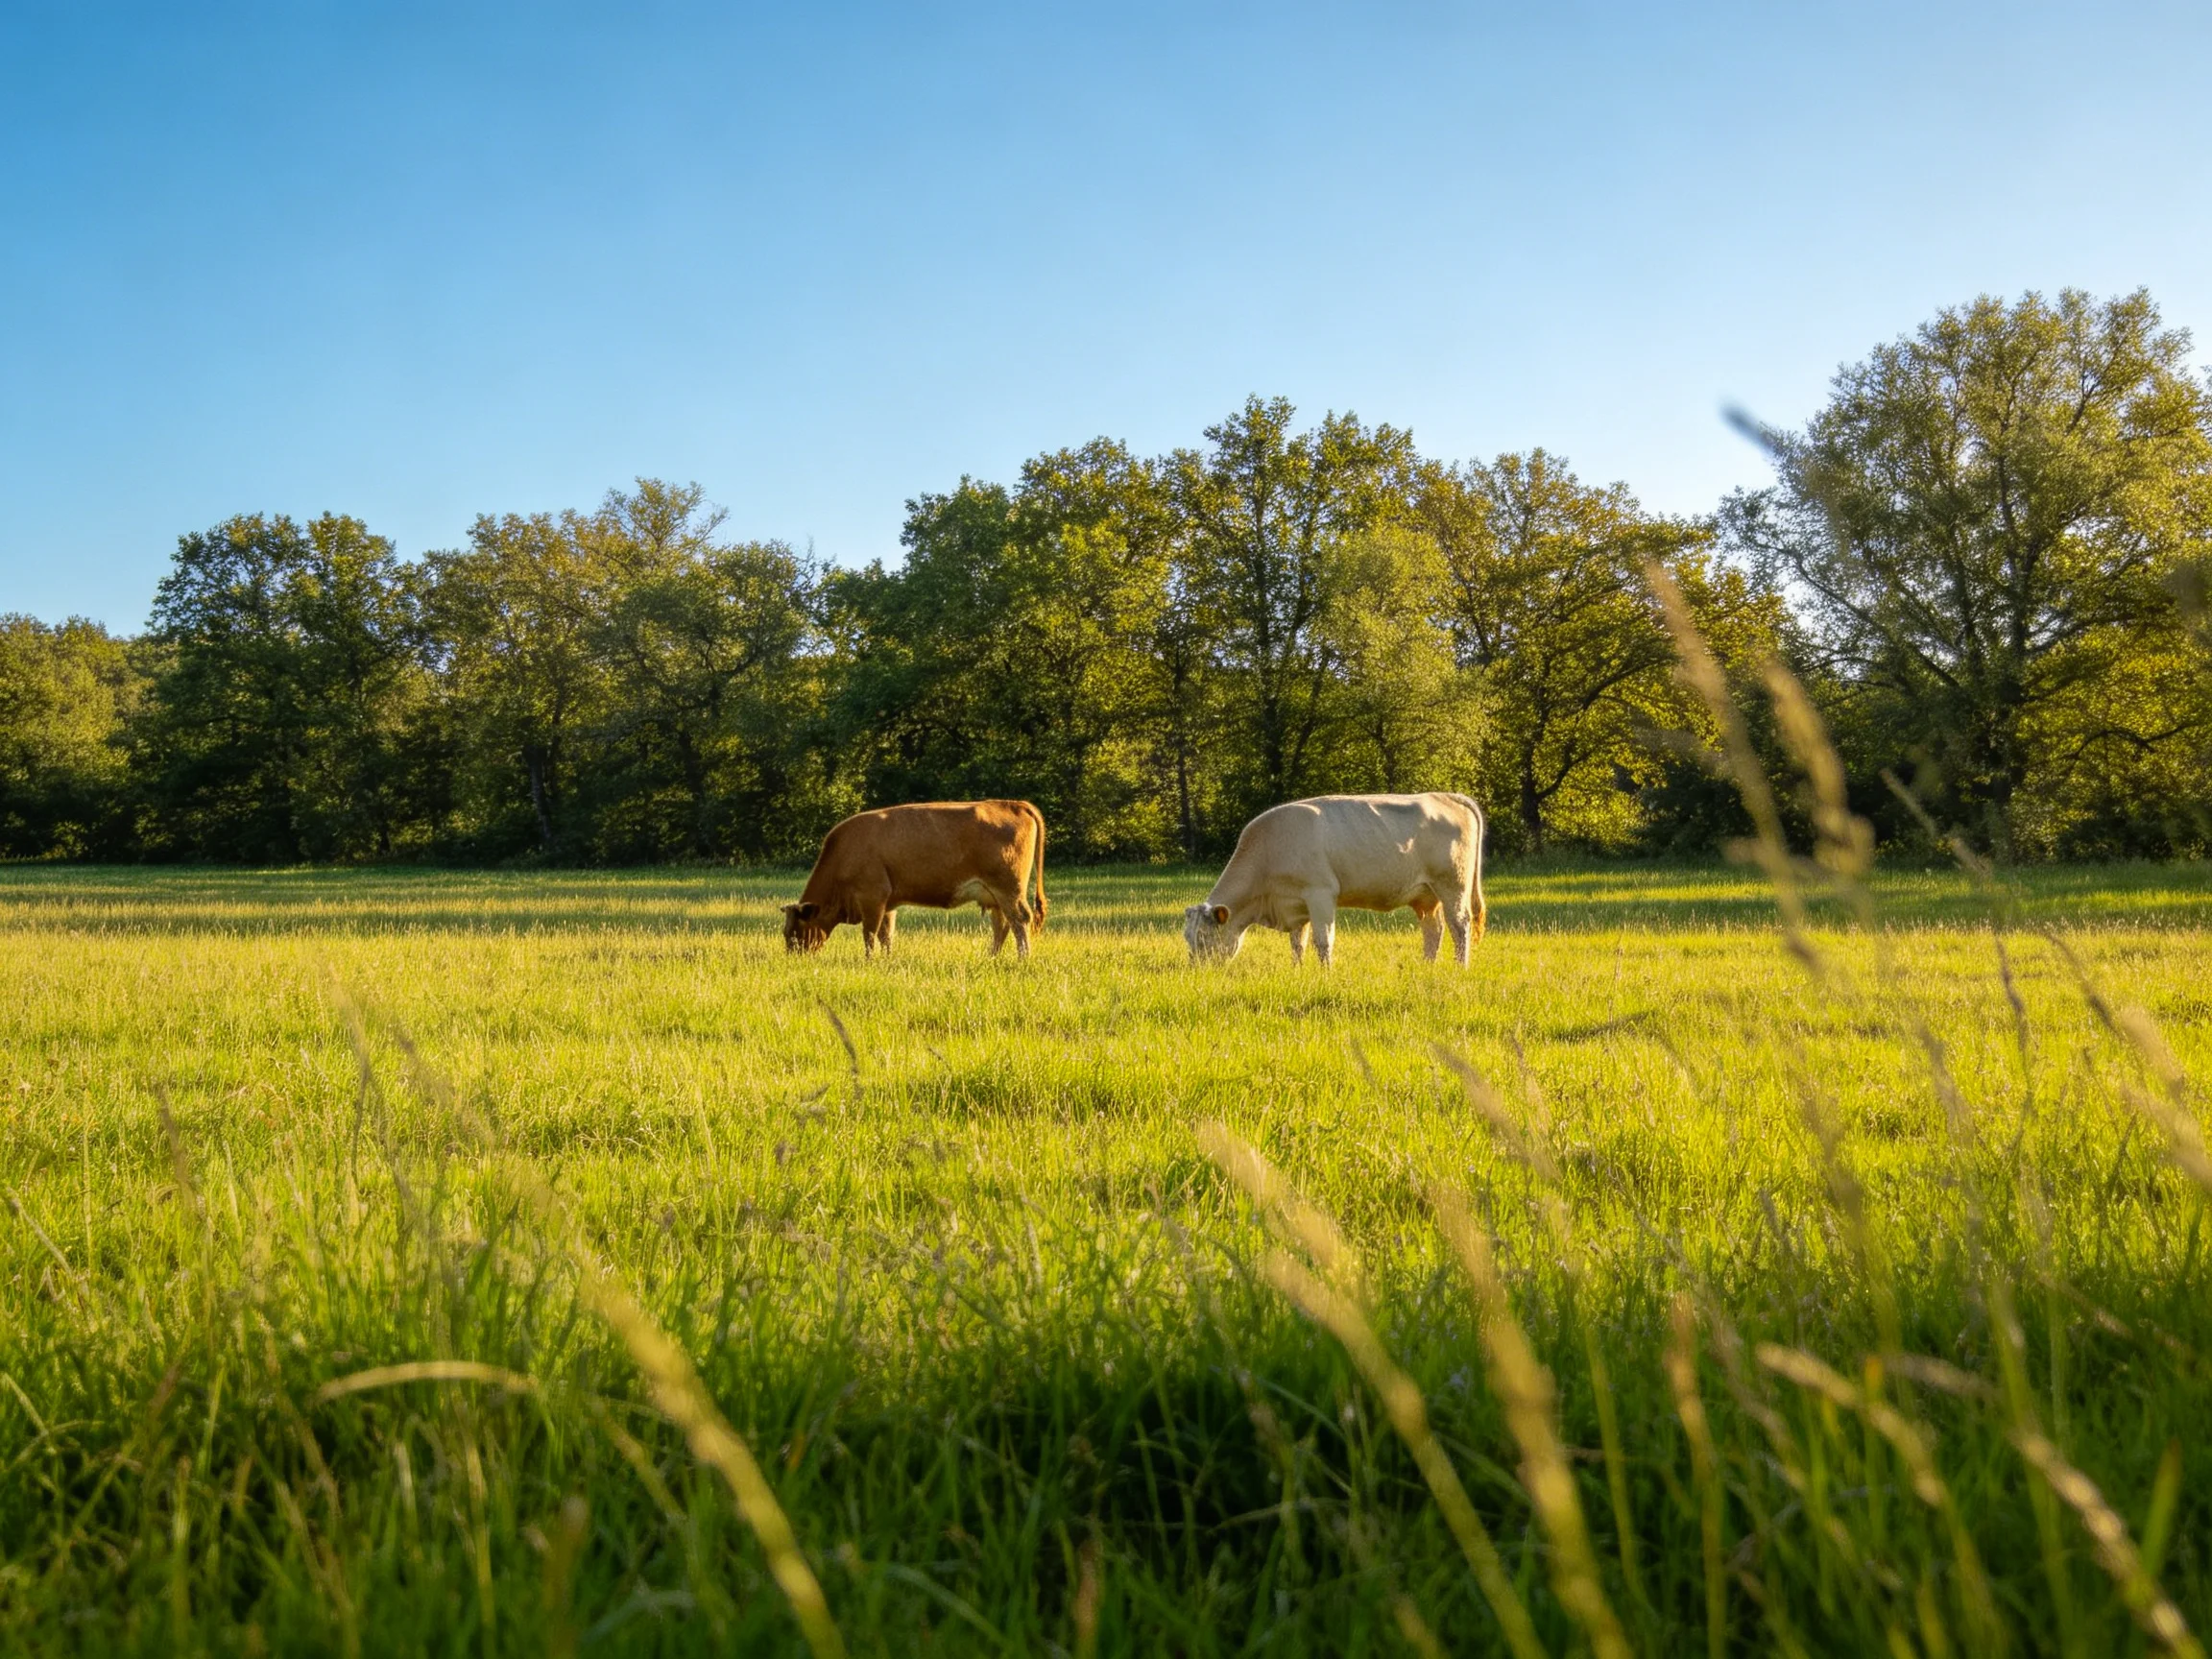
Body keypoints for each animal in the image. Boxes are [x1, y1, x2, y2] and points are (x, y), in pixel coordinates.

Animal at [781, 800, 1048, 958]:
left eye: (793, 932)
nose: (794, 958)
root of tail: (1013, 804)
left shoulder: (872, 899)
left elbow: (870, 934)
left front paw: (869, 960)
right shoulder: (887, 904)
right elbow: (886, 934)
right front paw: (887, 960)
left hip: (1009, 890)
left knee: (1020, 920)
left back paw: (1023, 957)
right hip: (995, 896)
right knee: (1002, 924)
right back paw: (991, 956)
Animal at [1183, 792, 1486, 967]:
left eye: (1203, 937)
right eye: (1187, 937)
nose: (1197, 970)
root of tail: (1444, 795)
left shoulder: (1320, 894)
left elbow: (1323, 940)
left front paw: (1324, 973)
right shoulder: (1295, 903)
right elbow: (1298, 943)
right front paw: (1297, 971)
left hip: (1452, 885)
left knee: (1459, 926)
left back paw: (1460, 967)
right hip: (1426, 895)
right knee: (1434, 929)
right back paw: (1427, 966)